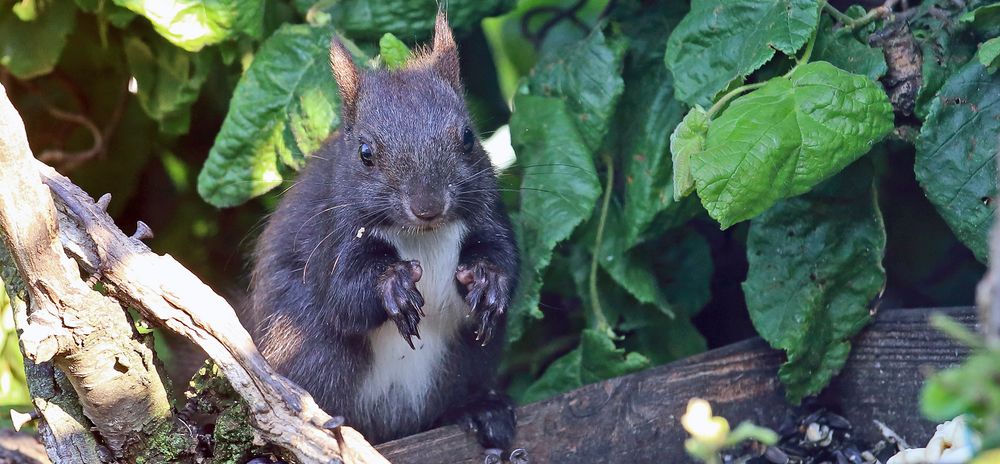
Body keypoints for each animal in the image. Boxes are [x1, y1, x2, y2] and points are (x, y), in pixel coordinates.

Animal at [244, 12, 524, 462]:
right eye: (365, 153)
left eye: (468, 138)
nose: (428, 206)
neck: (422, 236)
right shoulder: (333, 234)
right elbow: (343, 296)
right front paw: (392, 284)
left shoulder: (488, 214)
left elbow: (505, 258)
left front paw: (487, 280)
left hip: (468, 362)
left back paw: (481, 409)